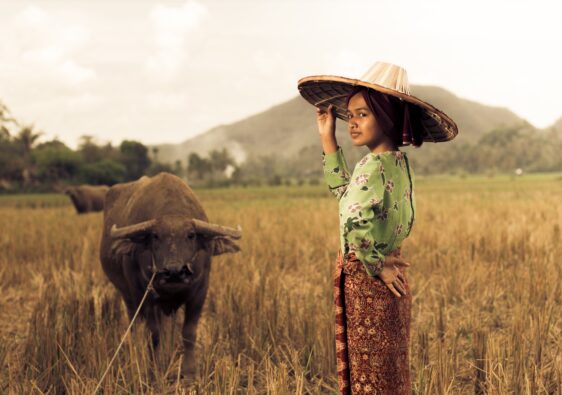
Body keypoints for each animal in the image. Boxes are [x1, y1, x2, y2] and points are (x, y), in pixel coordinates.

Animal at [99, 173, 240, 380]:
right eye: (155, 236)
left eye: (191, 235)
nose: (174, 271)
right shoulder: (144, 295)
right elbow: (153, 334)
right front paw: (154, 370)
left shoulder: (200, 291)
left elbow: (189, 332)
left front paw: (189, 373)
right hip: (127, 295)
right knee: (135, 324)